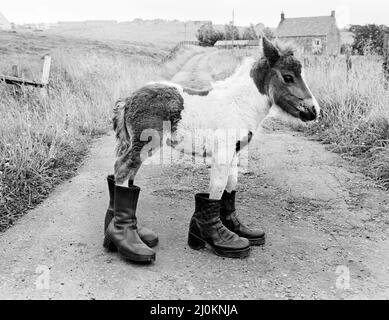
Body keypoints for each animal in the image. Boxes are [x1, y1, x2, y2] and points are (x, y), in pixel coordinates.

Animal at [102, 38, 318, 262]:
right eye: (288, 77)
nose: (314, 111)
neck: (239, 104)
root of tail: (128, 99)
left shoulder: (234, 153)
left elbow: (230, 185)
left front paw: (238, 229)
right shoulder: (223, 153)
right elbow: (217, 187)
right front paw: (222, 239)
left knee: (126, 173)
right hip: (144, 143)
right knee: (122, 169)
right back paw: (125, 240)